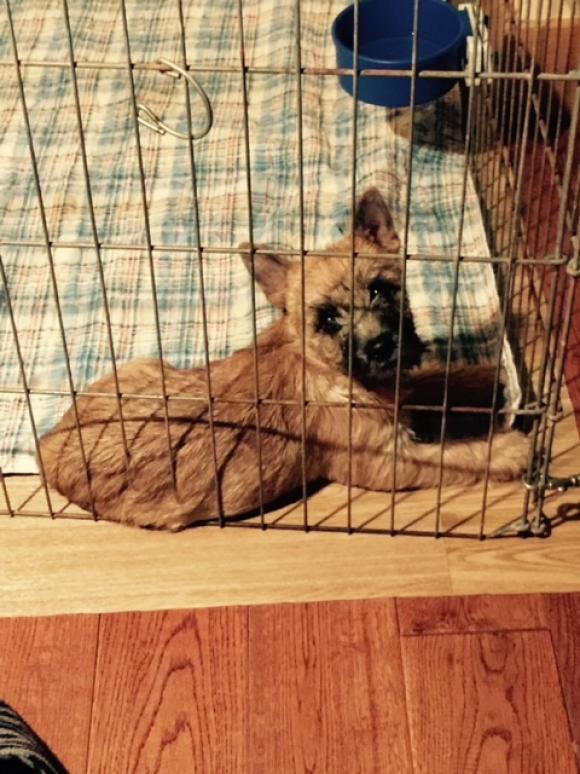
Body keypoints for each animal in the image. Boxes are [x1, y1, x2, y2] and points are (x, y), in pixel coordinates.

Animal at [38, 189, 532, 532]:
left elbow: (427, 382)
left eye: (381, 289)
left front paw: (480, 377)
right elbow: (459, 456)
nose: (380, 348)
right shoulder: (392, 461)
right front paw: (509, 448)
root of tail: (46, 446)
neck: (323, 367)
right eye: (327, 319)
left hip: (146, 365)